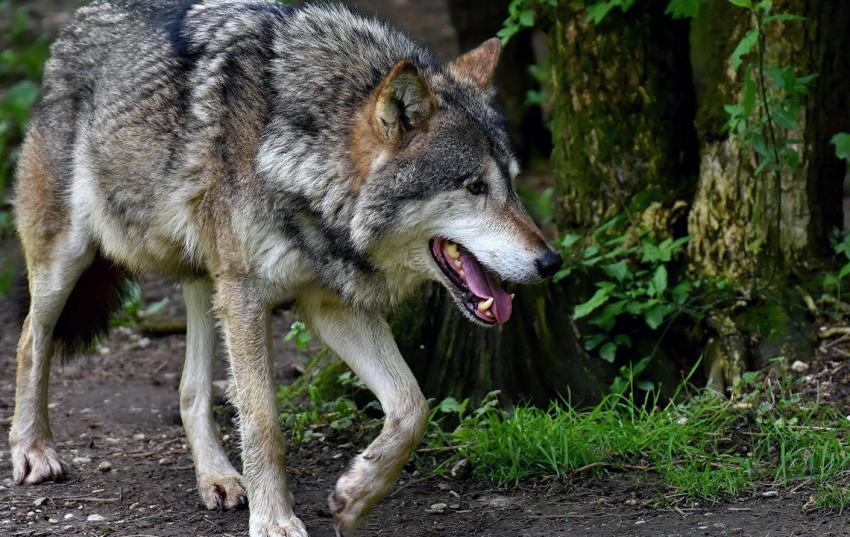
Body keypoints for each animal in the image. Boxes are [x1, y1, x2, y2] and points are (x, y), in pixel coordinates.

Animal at [9, 1, 563, 535]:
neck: (301, 157)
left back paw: (218, 478)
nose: (551, 261)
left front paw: (356, 495)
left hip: (207, 283)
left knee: (190, 390)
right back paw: (32, 451)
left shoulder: (328, 303)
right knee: (30, 341)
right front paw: (274, 520)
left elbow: (412, 406)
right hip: (68, 260)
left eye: (513, 185)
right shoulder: (248, 297)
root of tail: (74, 24)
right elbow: (263, 422)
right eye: (474, 187)